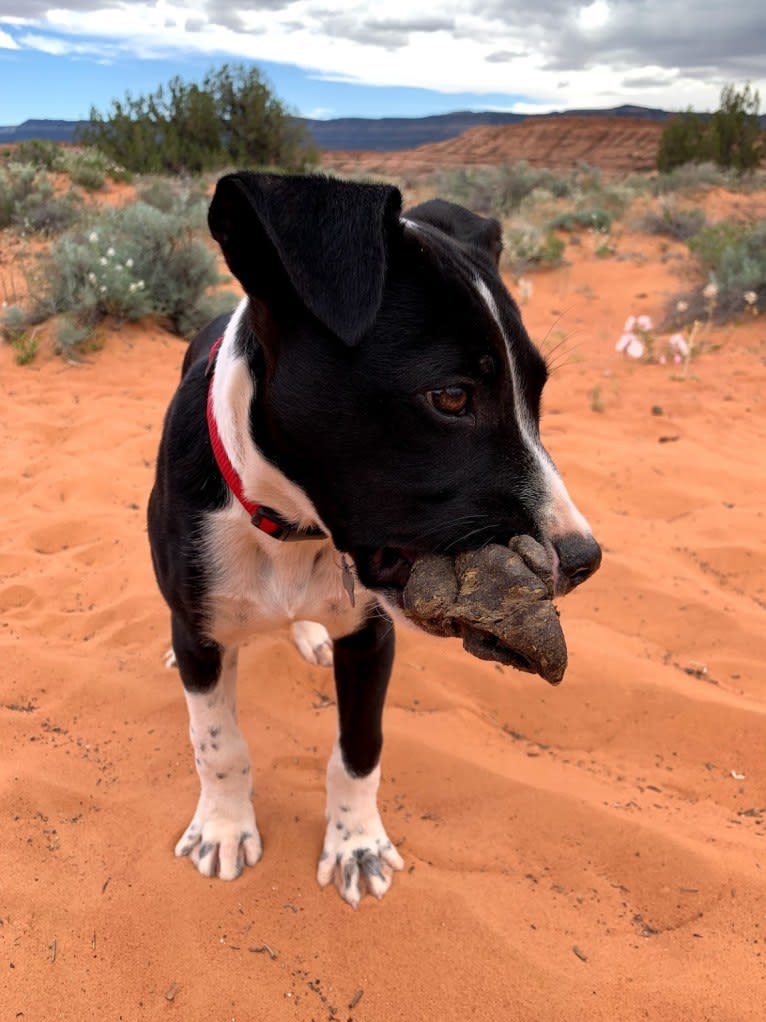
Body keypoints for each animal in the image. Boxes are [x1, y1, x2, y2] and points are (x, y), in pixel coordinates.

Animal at [147, 171, 604, 907]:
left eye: (537, 392)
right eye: (451, 397)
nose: (585, 560)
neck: (292, 527)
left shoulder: (369, 637)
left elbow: (359, 749)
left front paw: (355, 845)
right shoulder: (204, 629)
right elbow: (218, 742)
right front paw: (223, 827)